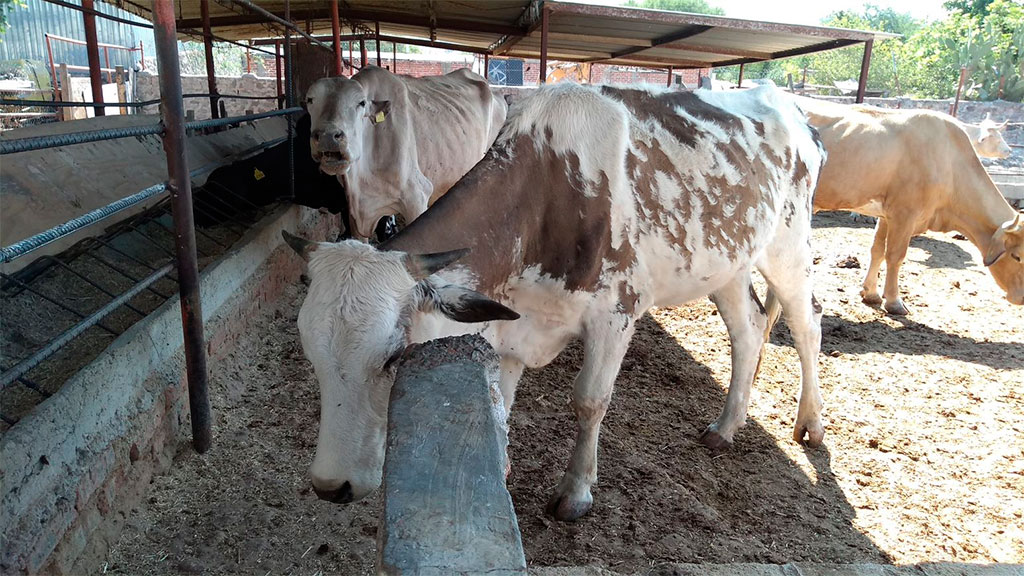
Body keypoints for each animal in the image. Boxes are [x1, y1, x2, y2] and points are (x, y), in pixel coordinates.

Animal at [284, 81, 827, 520]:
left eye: (394, 357)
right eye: (311, 357)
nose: (331, 486)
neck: (550, 190)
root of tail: (796, 112)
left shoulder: (616, 314)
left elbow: (590, 400)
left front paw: (576, 493)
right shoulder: (506, 325)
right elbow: (499, 409)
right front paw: (499, 475)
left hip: (789, 246)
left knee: (807, 326)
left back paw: (811, 424)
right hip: (729, 262)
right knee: (748, 331)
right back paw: (727, 425)